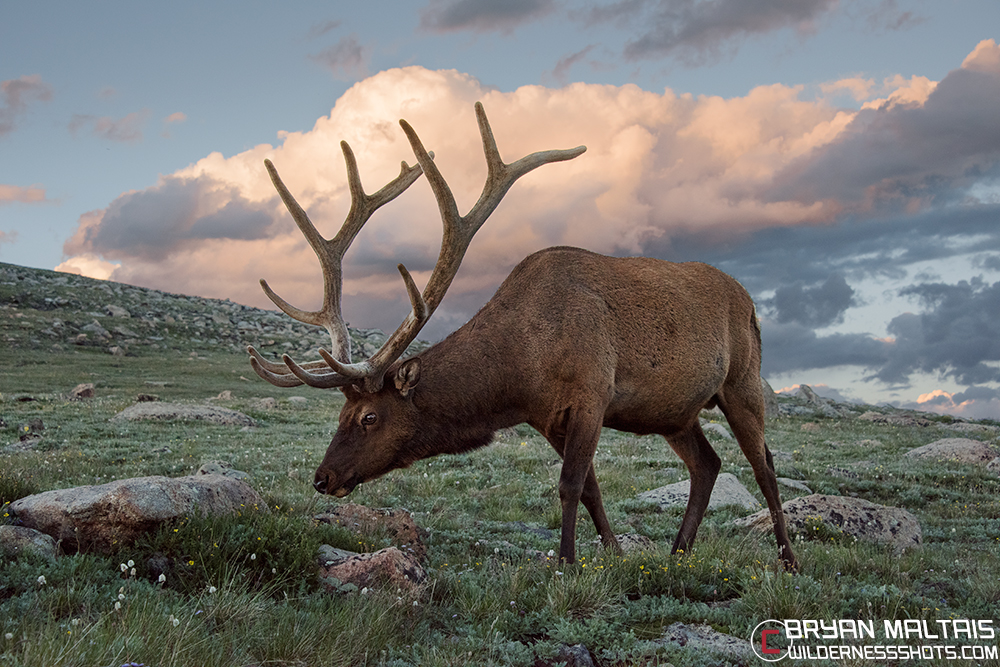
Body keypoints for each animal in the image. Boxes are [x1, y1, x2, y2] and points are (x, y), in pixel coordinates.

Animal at [250, 102, 796, 572]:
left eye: (368, 416)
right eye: (340, 415)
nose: (322, 478)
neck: (522, 371)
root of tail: (749, 301)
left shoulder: (593, 392)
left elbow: (570, 485)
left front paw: (566, 563)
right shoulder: (548, 416)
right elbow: (591, 488)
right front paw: (615, 553)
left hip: (742, 380)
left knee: (764, 464)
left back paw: (788, 558)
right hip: (674, 411)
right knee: (708, 463)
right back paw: (678, 553)